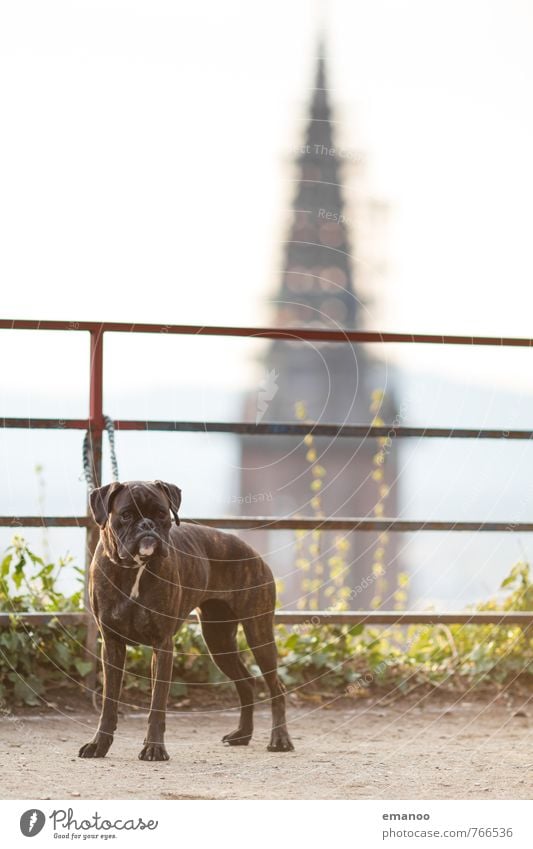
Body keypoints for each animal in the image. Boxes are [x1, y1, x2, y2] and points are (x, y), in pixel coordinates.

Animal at [78, 476, 296, 760]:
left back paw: (280, 739)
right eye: (125, 515)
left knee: (276, 688)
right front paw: (99, 745)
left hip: (258, 633)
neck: (135, 568)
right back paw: (242, 734)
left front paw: (154, 747)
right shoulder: (112, 645)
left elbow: (158, 703)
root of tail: (251, 550)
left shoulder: (163, 645)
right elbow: (108, 704)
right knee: (246, 682)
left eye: (162, 514)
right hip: (218, 641)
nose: (147, 525)